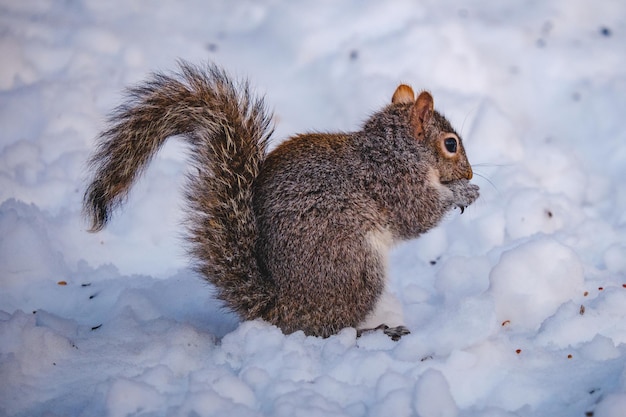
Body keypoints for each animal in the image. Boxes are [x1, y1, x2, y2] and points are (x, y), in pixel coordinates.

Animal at [80, 62, 476, 342]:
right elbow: (419, 215)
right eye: (451, 144)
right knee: (328, 329)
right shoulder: (394, 182)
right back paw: (374, 331)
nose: (471, 173)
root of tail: (279, 307)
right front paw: (462, 193)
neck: (395, 148)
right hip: (354, 266)